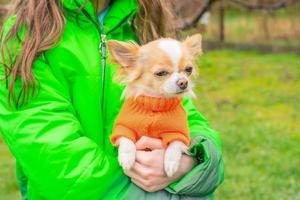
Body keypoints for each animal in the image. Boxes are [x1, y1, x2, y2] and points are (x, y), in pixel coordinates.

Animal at [106, 34, 203, 177]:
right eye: (161, 73)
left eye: (188, 70)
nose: (184, 82)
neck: (155, 103)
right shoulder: (123, 127)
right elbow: (125, 138)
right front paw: (126, 158)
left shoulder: (180, 133)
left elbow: (175, 144)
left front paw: (171, 164)